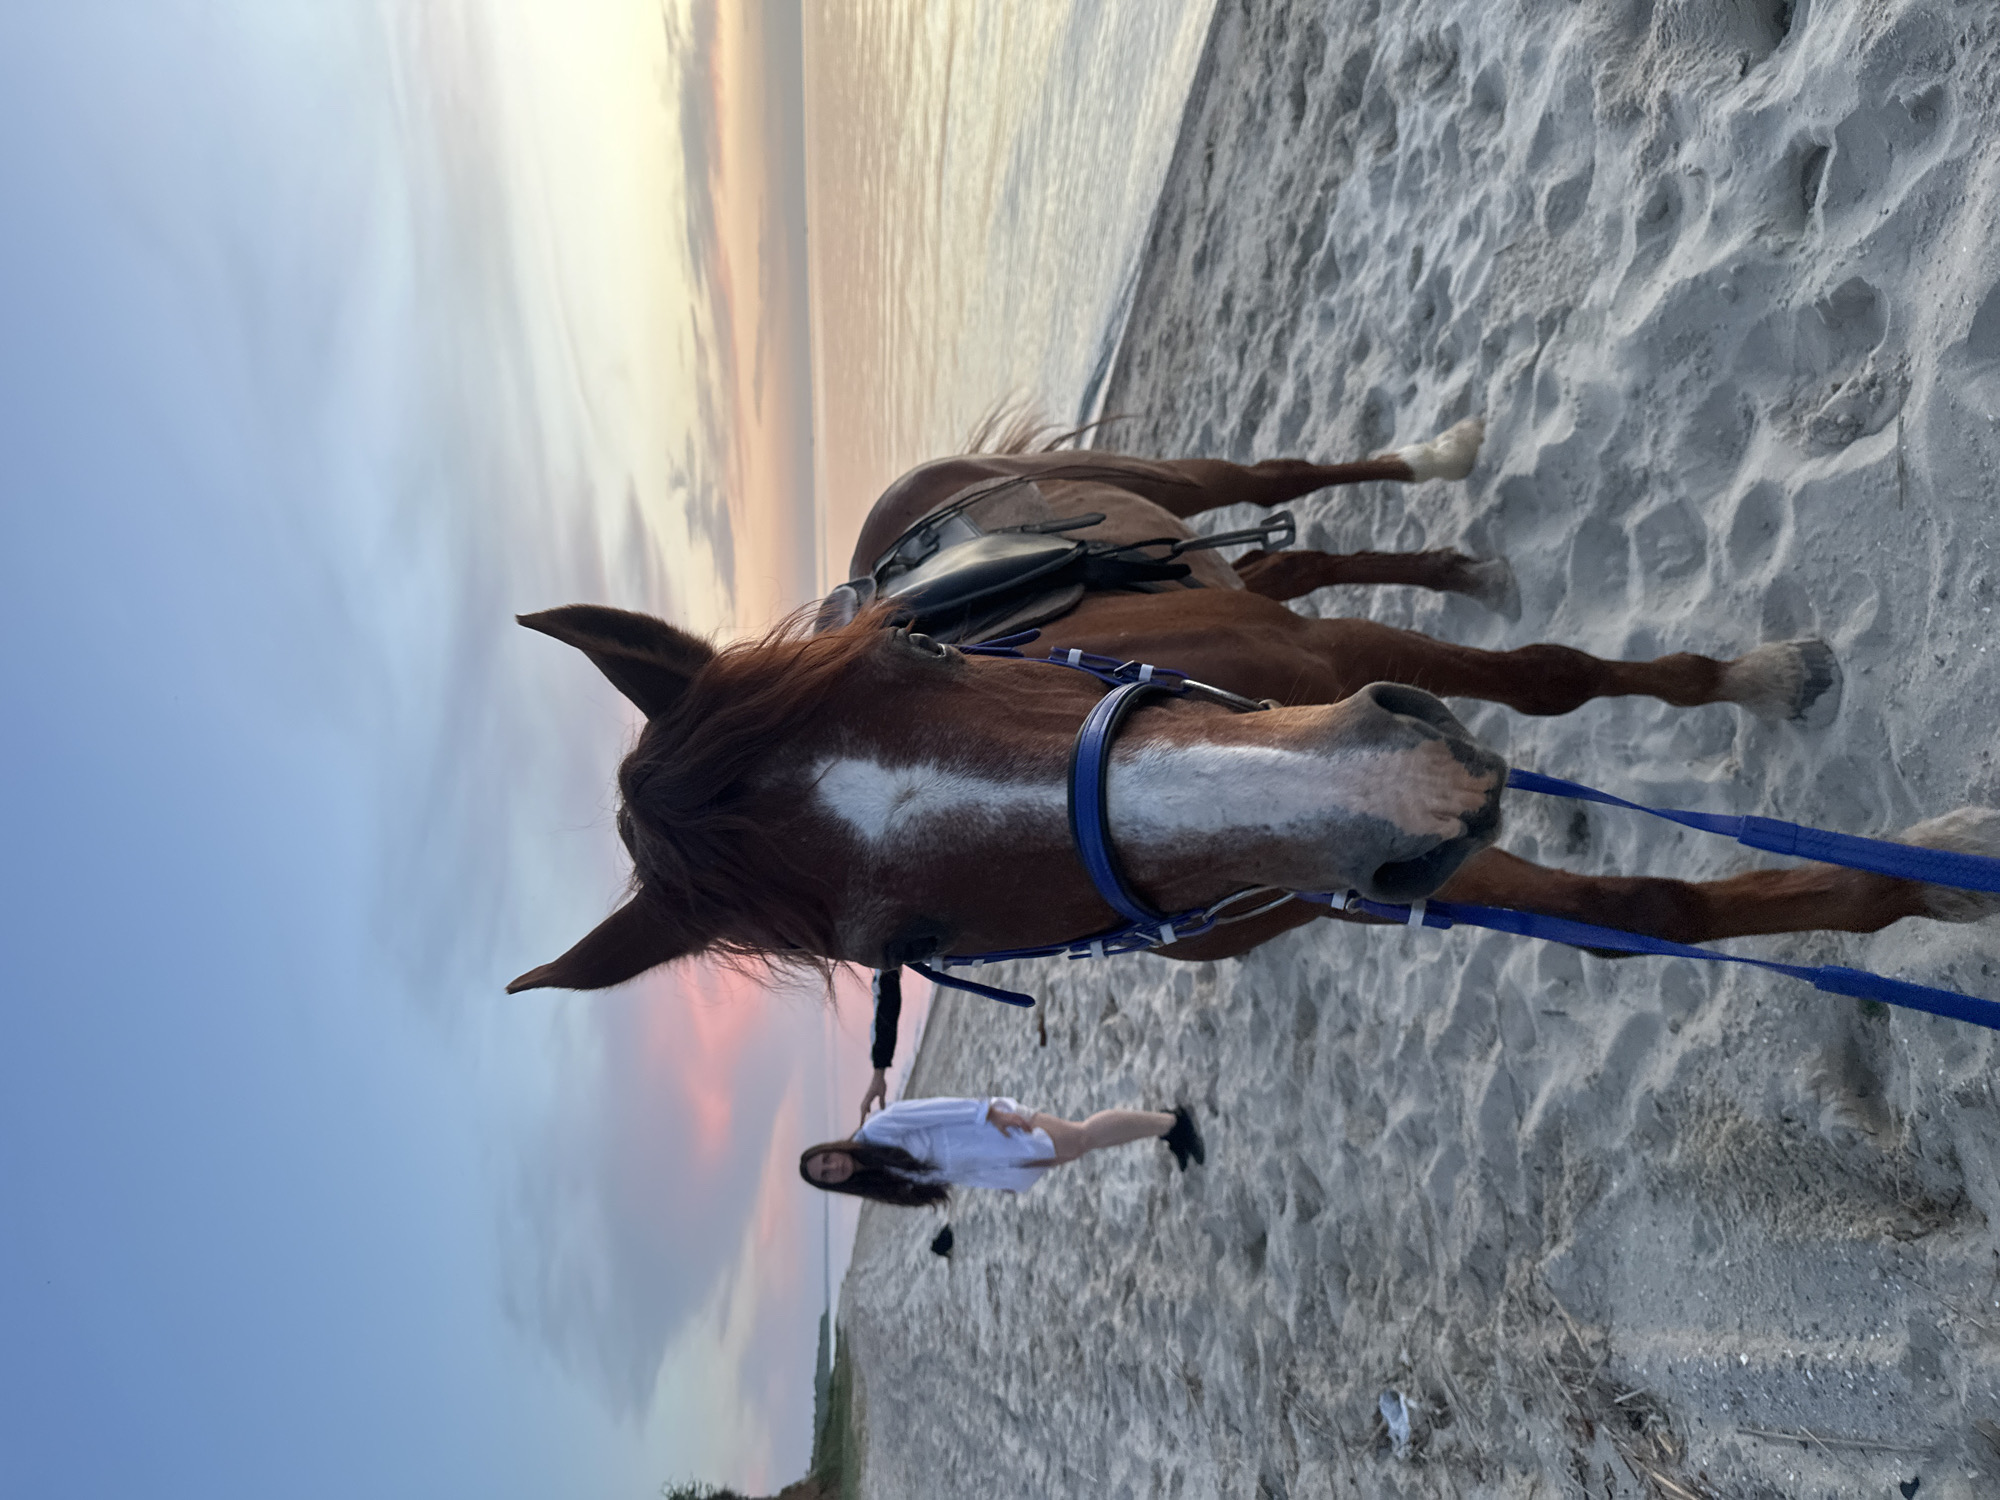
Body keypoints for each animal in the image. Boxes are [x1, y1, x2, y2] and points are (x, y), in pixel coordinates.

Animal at [507, 417, 2000, 995]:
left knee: (1276, 478)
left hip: (1179, 483)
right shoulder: (1379, 878)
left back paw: (1443, 471)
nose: (1405, 787)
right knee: (1297, 548)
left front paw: (1764, 680)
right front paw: (1929, 886)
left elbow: (1549, 677)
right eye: (905, 946)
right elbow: (1653, 913)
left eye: (920, 657)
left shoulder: (1341, 669)